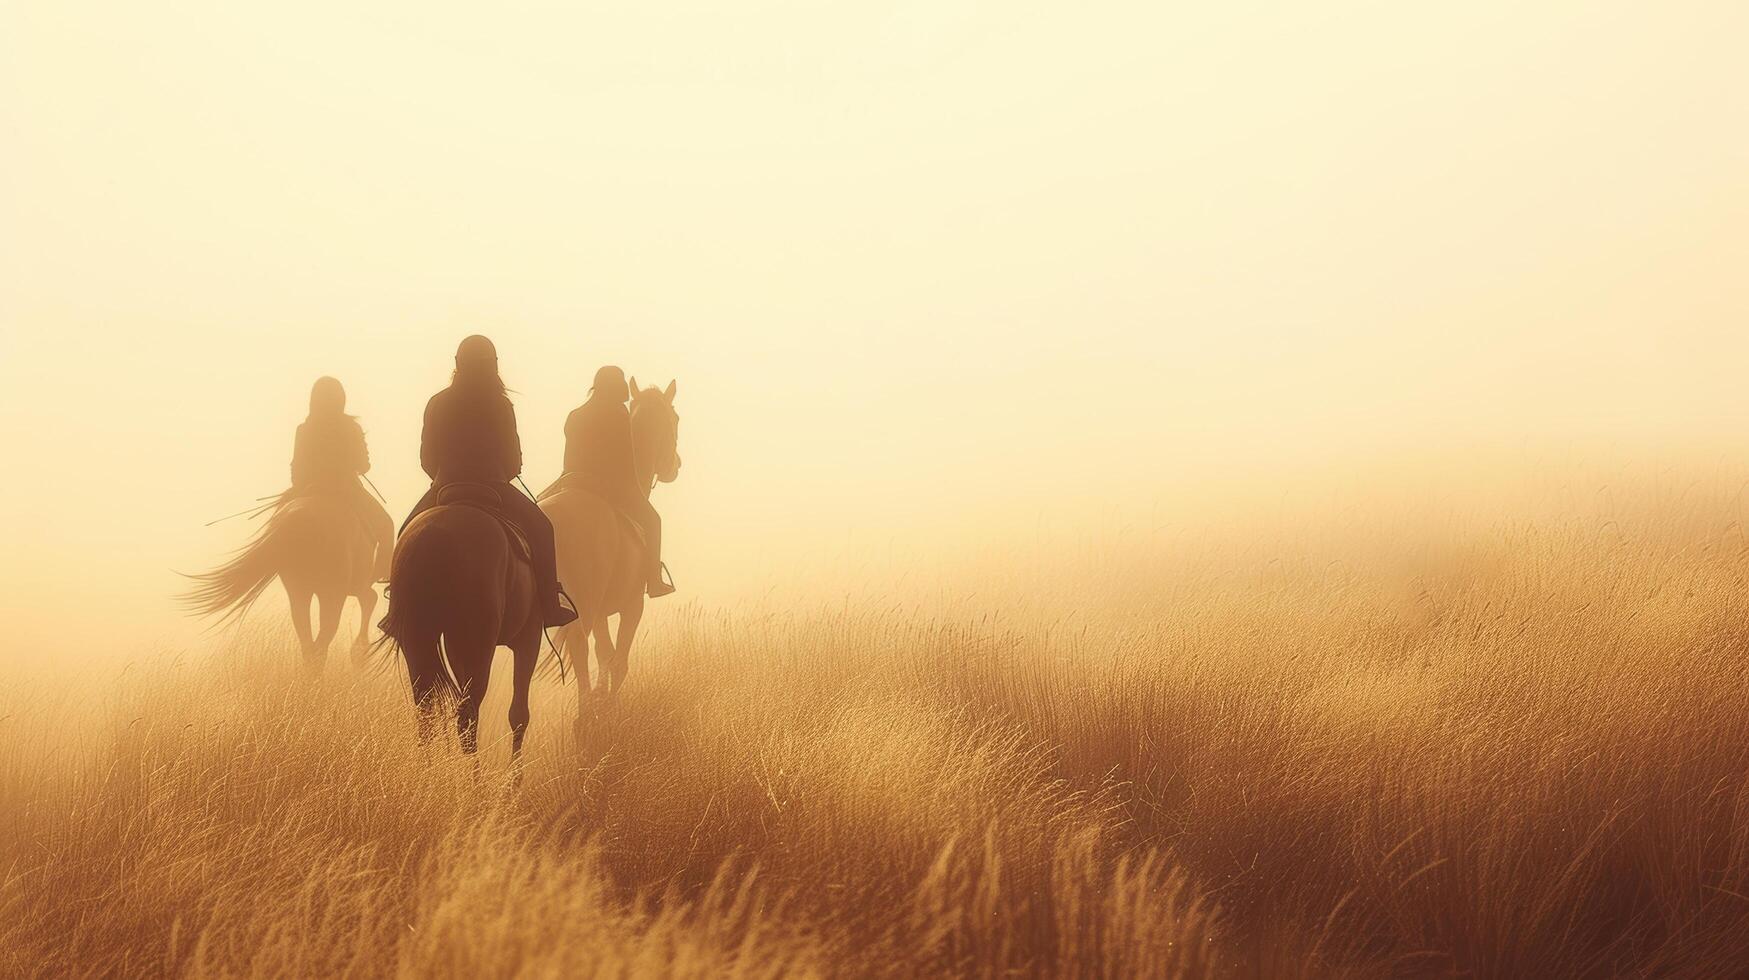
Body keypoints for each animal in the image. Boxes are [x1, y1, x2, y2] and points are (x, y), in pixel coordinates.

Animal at [180, 493, 379, 668]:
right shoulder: (353, 585)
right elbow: (370, 600)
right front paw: (361, 655)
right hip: (332, 592)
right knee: (324, 637)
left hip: (301, 591)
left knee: (309, 641)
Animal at [377, 486, 542, 752]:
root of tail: (434, 534)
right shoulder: (529, 637)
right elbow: (519, 715)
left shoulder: (454, 645)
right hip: (479, 645)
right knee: (468, 717)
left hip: (418, 642)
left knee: (426, 713)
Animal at [535, 379, 678, 731]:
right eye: (675, 418)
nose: (675, 465)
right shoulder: (632, 606)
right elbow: (617, 660)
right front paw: (610, 708)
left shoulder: (601, 613)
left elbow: (604, 652)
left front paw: (603, 702)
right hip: (584, 607)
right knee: (579, 648)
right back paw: (583, 718)